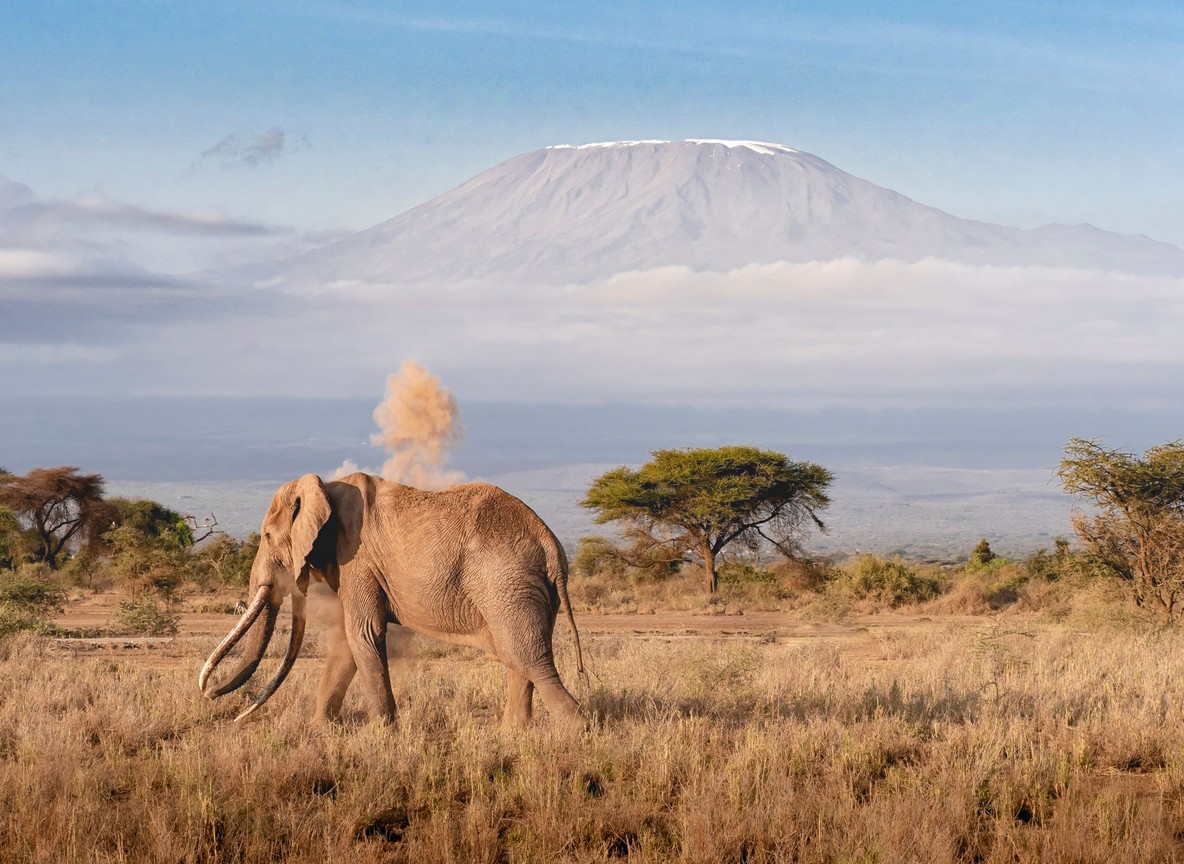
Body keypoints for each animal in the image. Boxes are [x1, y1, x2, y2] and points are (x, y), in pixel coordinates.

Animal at [199, 472, 585, 727]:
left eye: (266, 536)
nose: (212, 697)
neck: (324, 487)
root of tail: (550, 543)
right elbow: (348, 642)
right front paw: (320, 730)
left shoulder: (357, 559)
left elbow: (363, 633)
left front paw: (382, 734)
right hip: (525, 589)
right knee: (519, 658)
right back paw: (513, 736)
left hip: (507, 583)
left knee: (530, 659)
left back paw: (576, 730)